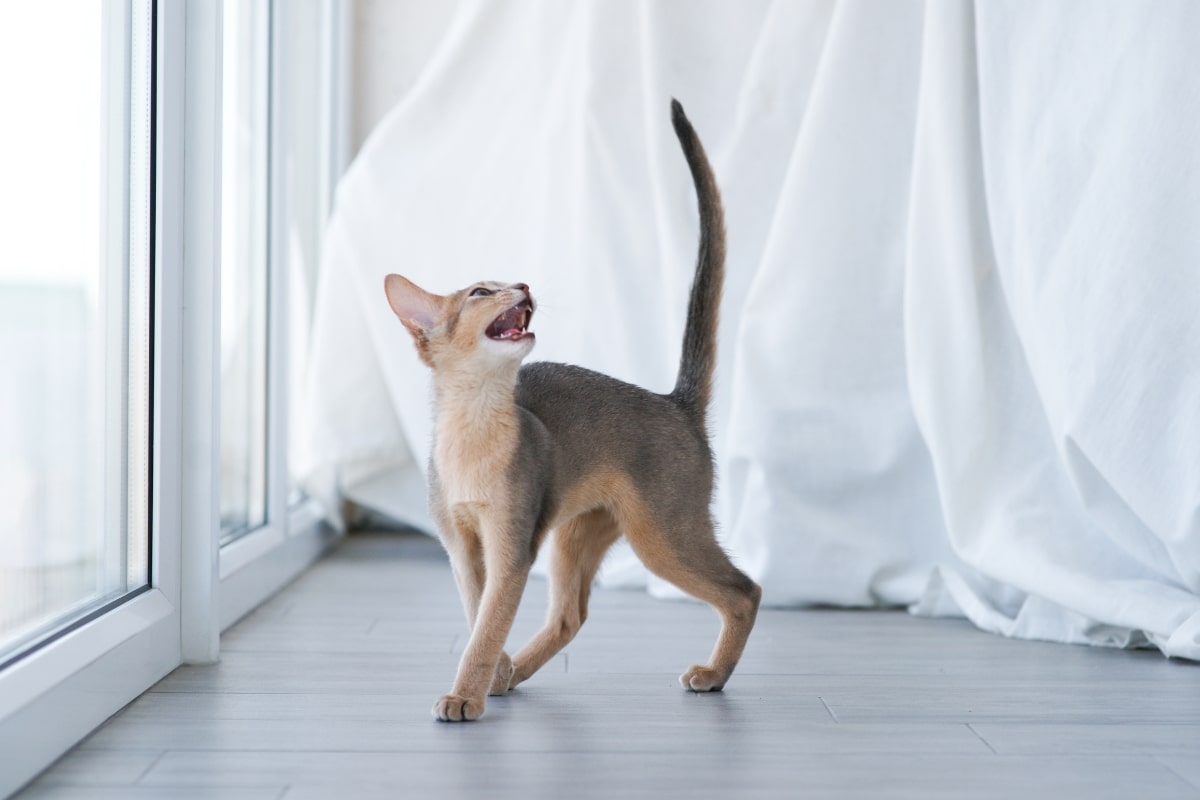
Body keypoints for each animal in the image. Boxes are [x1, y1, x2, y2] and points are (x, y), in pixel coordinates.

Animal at [384, 97, 758, 724]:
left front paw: (465, 695)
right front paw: (492, 675)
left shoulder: (510, 545)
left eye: (507, 282)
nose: (524, 284)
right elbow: (478, 615)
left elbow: (486, 623)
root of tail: (674, 402)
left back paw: (714, 675)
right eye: (480, 292)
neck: (474, 426)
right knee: (570, 615)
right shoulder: (461, 546)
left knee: (744, 590)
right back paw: (515, 674)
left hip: (662, 533)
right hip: (575, 534)